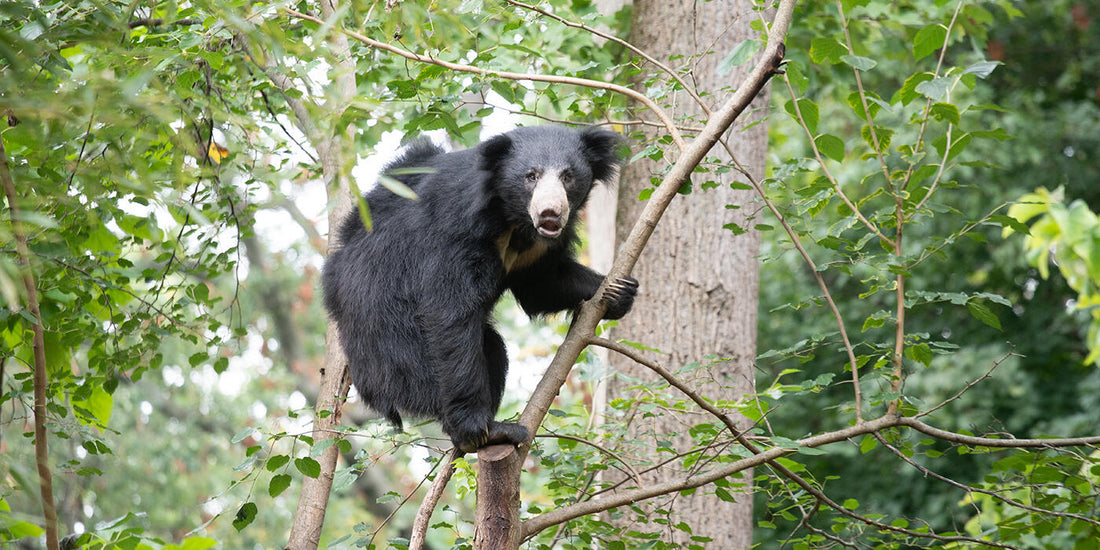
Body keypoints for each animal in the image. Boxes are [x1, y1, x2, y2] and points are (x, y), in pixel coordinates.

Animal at [321, 125, 638, 453]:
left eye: (568, 176)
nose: (550, 214)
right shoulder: (457, 234)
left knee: (493, 349)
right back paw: (488, 432)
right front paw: (473, 427)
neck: (513, 219)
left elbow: (541, 283)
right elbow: (449, 310)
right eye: (531, 176)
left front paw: (618, 291)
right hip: (390, 335)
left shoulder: (534, 252)